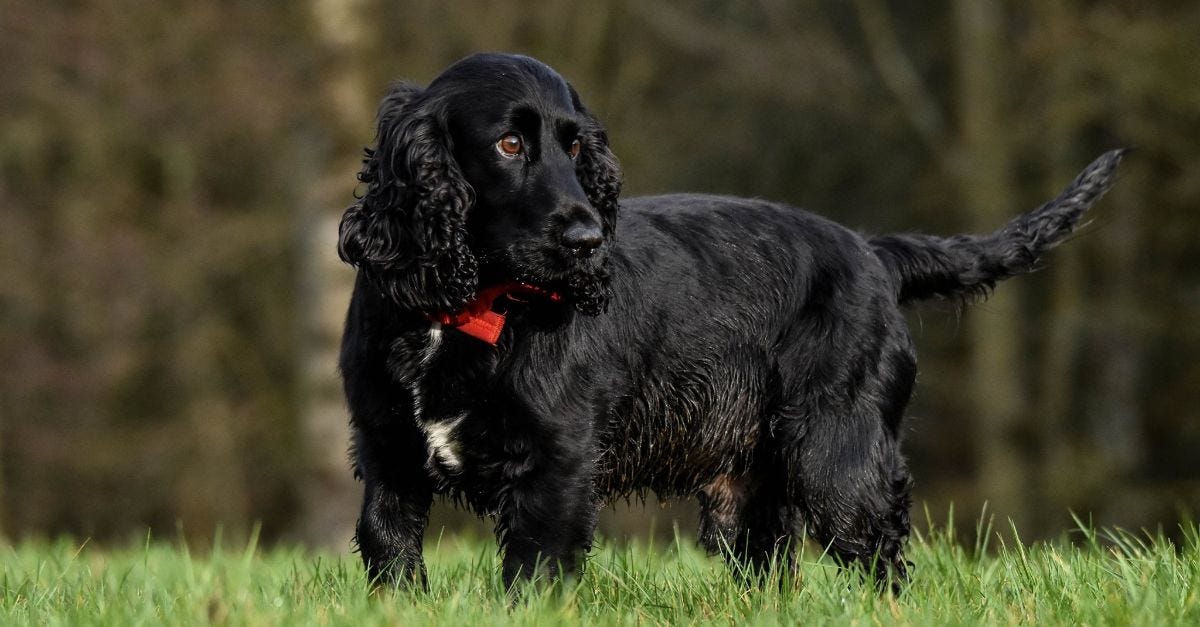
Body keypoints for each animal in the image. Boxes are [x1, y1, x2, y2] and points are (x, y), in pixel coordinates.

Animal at [338, 52, 1123, 590]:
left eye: (575, 146)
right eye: (508, 144)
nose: (589, 239)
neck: (460, 308)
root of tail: (872, 250)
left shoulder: (556, 464)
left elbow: (533, 576)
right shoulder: (386, 456)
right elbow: (388, 552)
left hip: (837, 455)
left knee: (883, 558)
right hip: (750, 489)